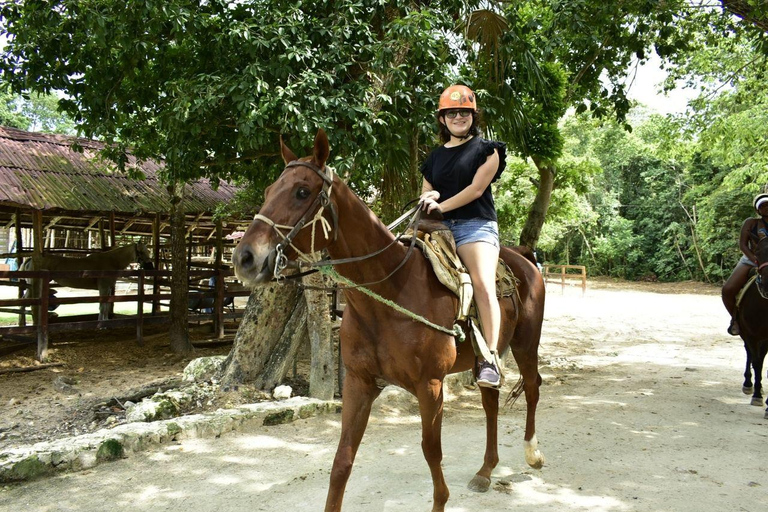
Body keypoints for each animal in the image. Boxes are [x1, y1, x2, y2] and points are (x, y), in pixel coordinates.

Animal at [231, 130, 544, 510]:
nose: (245, 258)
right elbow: (342, 461)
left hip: (526, 343)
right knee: (490, 401)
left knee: (532, 387)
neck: (390, 291)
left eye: (302, 191)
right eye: (267, 192)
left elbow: (431, 452)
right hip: (486, 360)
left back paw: (532, 454)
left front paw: (441, 499)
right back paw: (485, 471)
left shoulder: (430, 385)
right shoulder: (359, 382)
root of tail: (525, 257)